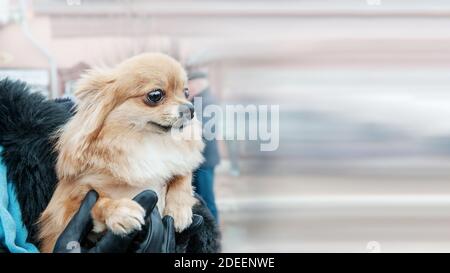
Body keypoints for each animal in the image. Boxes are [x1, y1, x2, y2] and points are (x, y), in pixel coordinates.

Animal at [37, 52, 205, 251]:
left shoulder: (178, 163)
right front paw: (120, 211)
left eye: (186, 92)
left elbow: (182, 174)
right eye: (155, 95)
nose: (191, 108)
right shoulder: (63, 208)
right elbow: (98, 203)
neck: (146, 142)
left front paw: (179, 209)